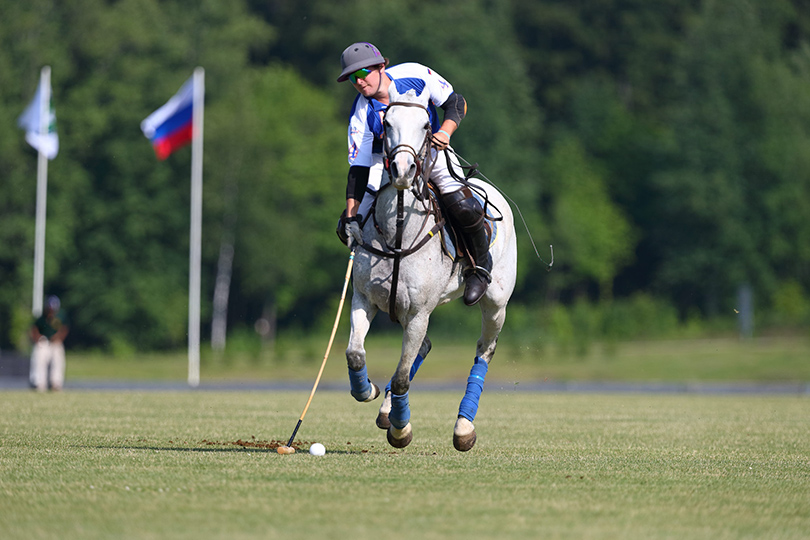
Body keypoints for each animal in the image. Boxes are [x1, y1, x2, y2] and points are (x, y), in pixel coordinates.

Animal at [344, 84, 516, 450]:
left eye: (426, 125)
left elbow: (402, 377)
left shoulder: (419, 312)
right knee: (422, 348)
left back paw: (463, 427)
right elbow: (356, 353)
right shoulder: (364, 299)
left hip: (496, 302)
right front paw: (369, 391)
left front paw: (401, 430)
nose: (403, 170)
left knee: (484, 350)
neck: (397, 230)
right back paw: (386, 409)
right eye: (386, 123)